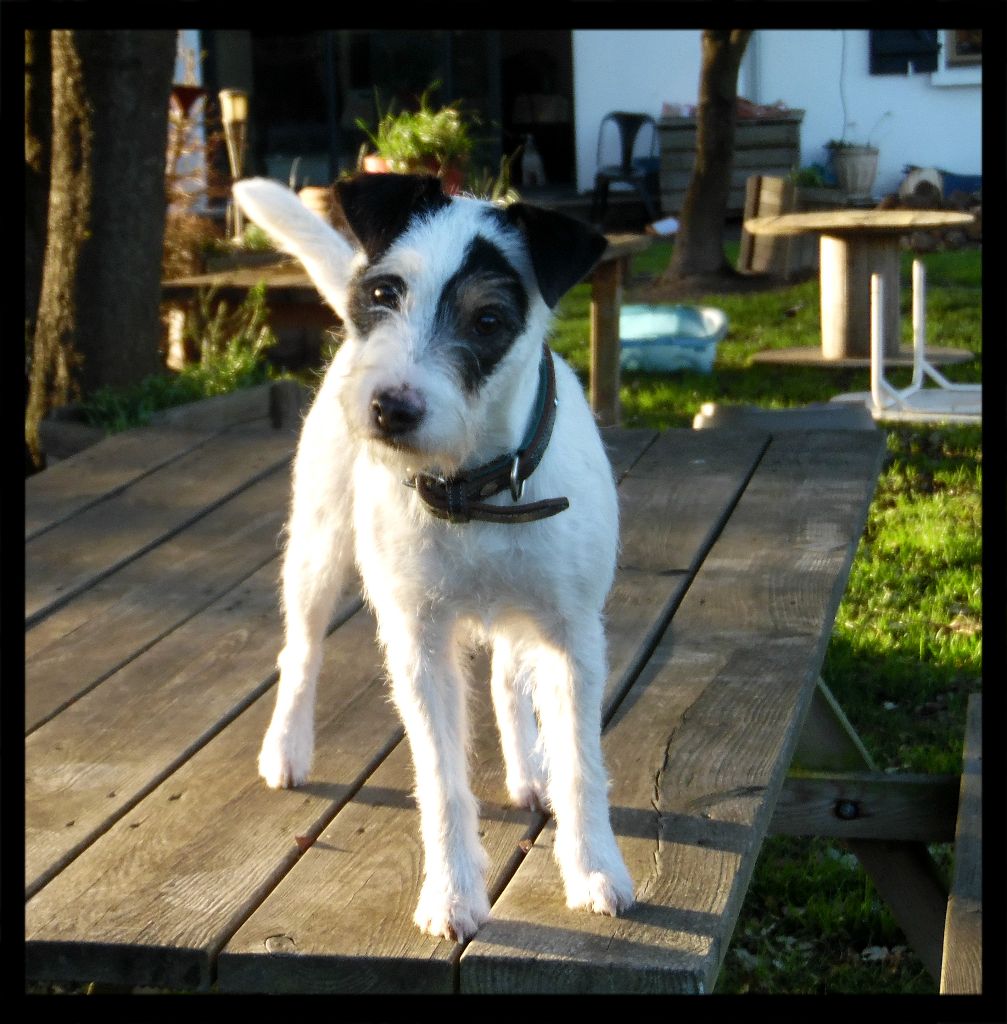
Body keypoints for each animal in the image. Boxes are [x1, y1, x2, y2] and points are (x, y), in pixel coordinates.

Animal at [232, 169, 635, 942]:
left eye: (488, 322)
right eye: (384, 294)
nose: (391, 408)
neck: (476, 486)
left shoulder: (572, 637)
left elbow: (582, 763)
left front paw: (594, 869)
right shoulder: (418, 641)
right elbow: (442, 780)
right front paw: (451, 895)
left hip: (522, 612)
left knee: (508, 679)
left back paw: (528, 770)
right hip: (318, 548)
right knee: (300, 651)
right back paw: (286, 748)